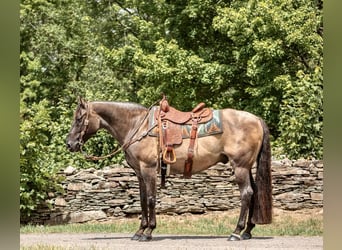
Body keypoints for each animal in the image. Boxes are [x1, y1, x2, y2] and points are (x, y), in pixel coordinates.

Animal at [66, 96, 272, 241]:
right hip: (246, 167)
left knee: (246, 193)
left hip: (240, 167)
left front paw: (148, 232)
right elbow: (142, 200)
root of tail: (256, 119)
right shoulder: (139, 173)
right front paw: (139, 231)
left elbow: (151, 199)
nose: (69, 144)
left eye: (79, 118)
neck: (137, 126)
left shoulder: (148, 169)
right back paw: (247, 231)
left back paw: (236, 232)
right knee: (254, 192)